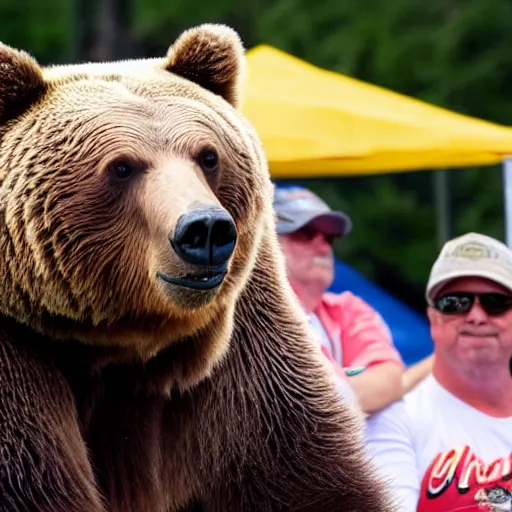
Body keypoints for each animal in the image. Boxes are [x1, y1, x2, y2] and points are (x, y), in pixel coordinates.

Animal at [0, 24, 394, 512]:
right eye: (122, 166)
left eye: (208, 155)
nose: (204, 230)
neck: (119, 344)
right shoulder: (16, 360)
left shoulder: (239, 351)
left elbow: (302, 470)